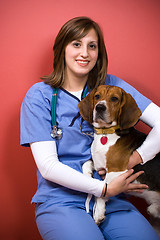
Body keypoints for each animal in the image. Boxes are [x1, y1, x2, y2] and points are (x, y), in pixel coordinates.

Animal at [78, 85, 160, 228]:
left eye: (114, 99)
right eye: (97, 96)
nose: (99, 107)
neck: (105, 134)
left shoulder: (116, 170)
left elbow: (102, 191)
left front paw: (99, 213)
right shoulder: (97, 162)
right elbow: (85, 164)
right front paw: (88, 178)